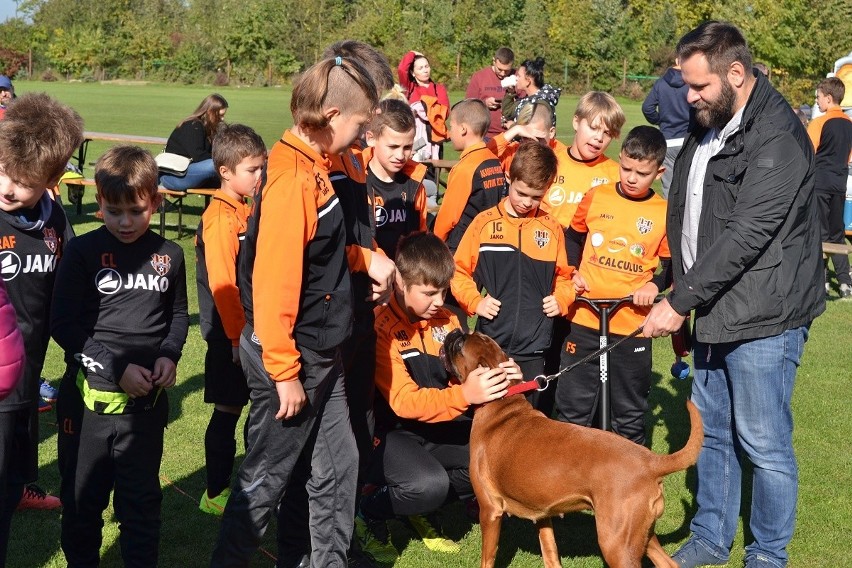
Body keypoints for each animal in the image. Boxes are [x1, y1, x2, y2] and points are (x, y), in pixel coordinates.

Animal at [442, 328, 704, 568]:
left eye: (460, 344)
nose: (454, 332)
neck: (502, 404)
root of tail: (650, 461)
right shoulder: (543, 516)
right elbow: (550, 555)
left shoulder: (490, 511)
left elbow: (487, 559)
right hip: (642, 536)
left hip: (617, 545)